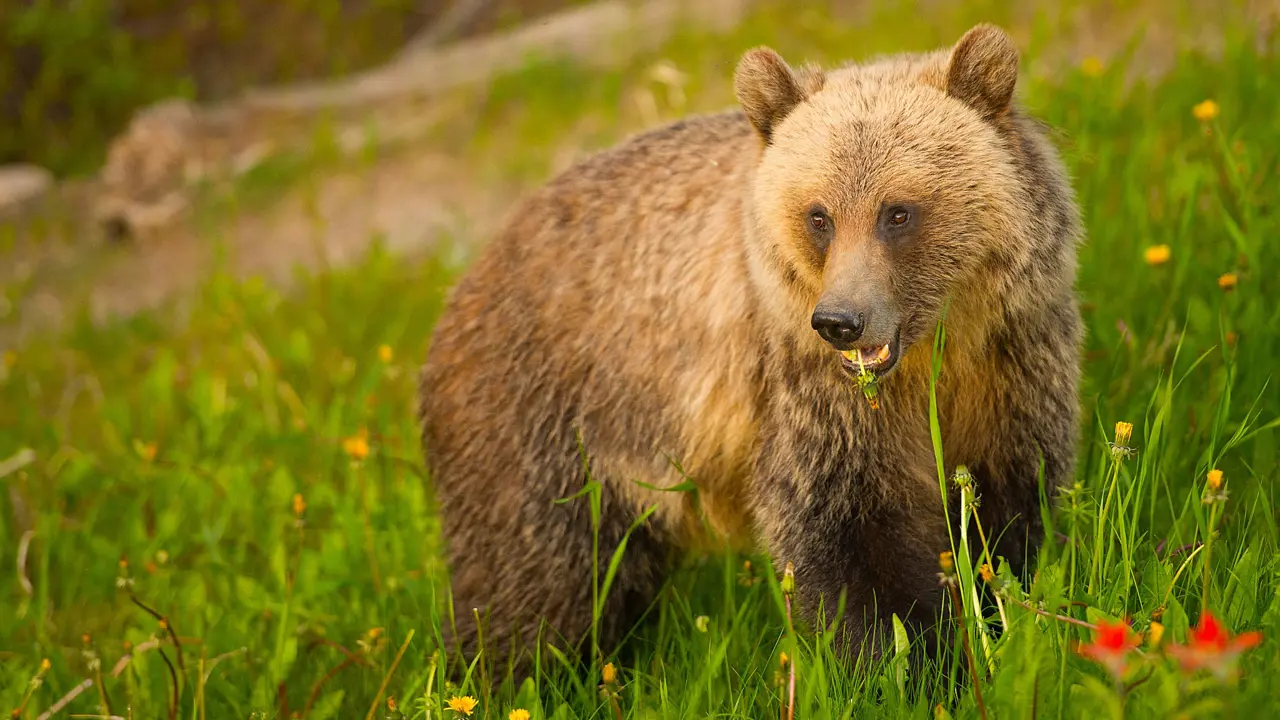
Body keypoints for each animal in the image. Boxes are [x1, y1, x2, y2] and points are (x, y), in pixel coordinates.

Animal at [419, 23, 1080, 666]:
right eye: (819, 216)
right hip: (544, 423)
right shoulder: (810, 394)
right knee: (535, 577)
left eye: (897, 212)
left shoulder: (1012, 361)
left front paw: (999, 616)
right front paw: (909, 657)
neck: (935, 351)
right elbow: (847, 533)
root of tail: (460, 286)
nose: (841, 321)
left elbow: (1010, 507)